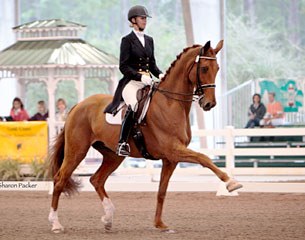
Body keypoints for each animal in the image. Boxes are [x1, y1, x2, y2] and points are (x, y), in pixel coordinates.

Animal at [48, 40, 241, 233]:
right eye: (204, 68)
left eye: (217, 68)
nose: (209, 104)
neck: (170, 103)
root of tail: (78, 106)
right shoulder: (174, 150)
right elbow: (204, 158)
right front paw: (231, 183)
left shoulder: (170, 159)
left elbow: (162, 191)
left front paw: (160, 224)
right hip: (77, 151)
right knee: (60, 179)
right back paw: (56, 223)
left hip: (113, 155)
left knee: (97, 180)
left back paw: (108, 218)